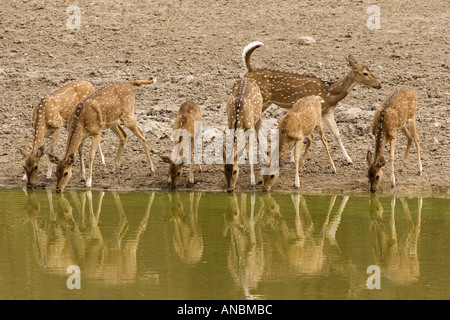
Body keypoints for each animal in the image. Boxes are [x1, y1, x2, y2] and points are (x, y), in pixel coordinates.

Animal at [241, 41, 382, 164]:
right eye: (365, 73)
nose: (380, 84)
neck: (328, 92)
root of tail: (249, 71)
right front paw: (294, 158)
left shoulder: (328, 111)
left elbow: (336, 134)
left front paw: (349, 159)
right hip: (260, 101)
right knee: (251, 123)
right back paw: (250, 156)